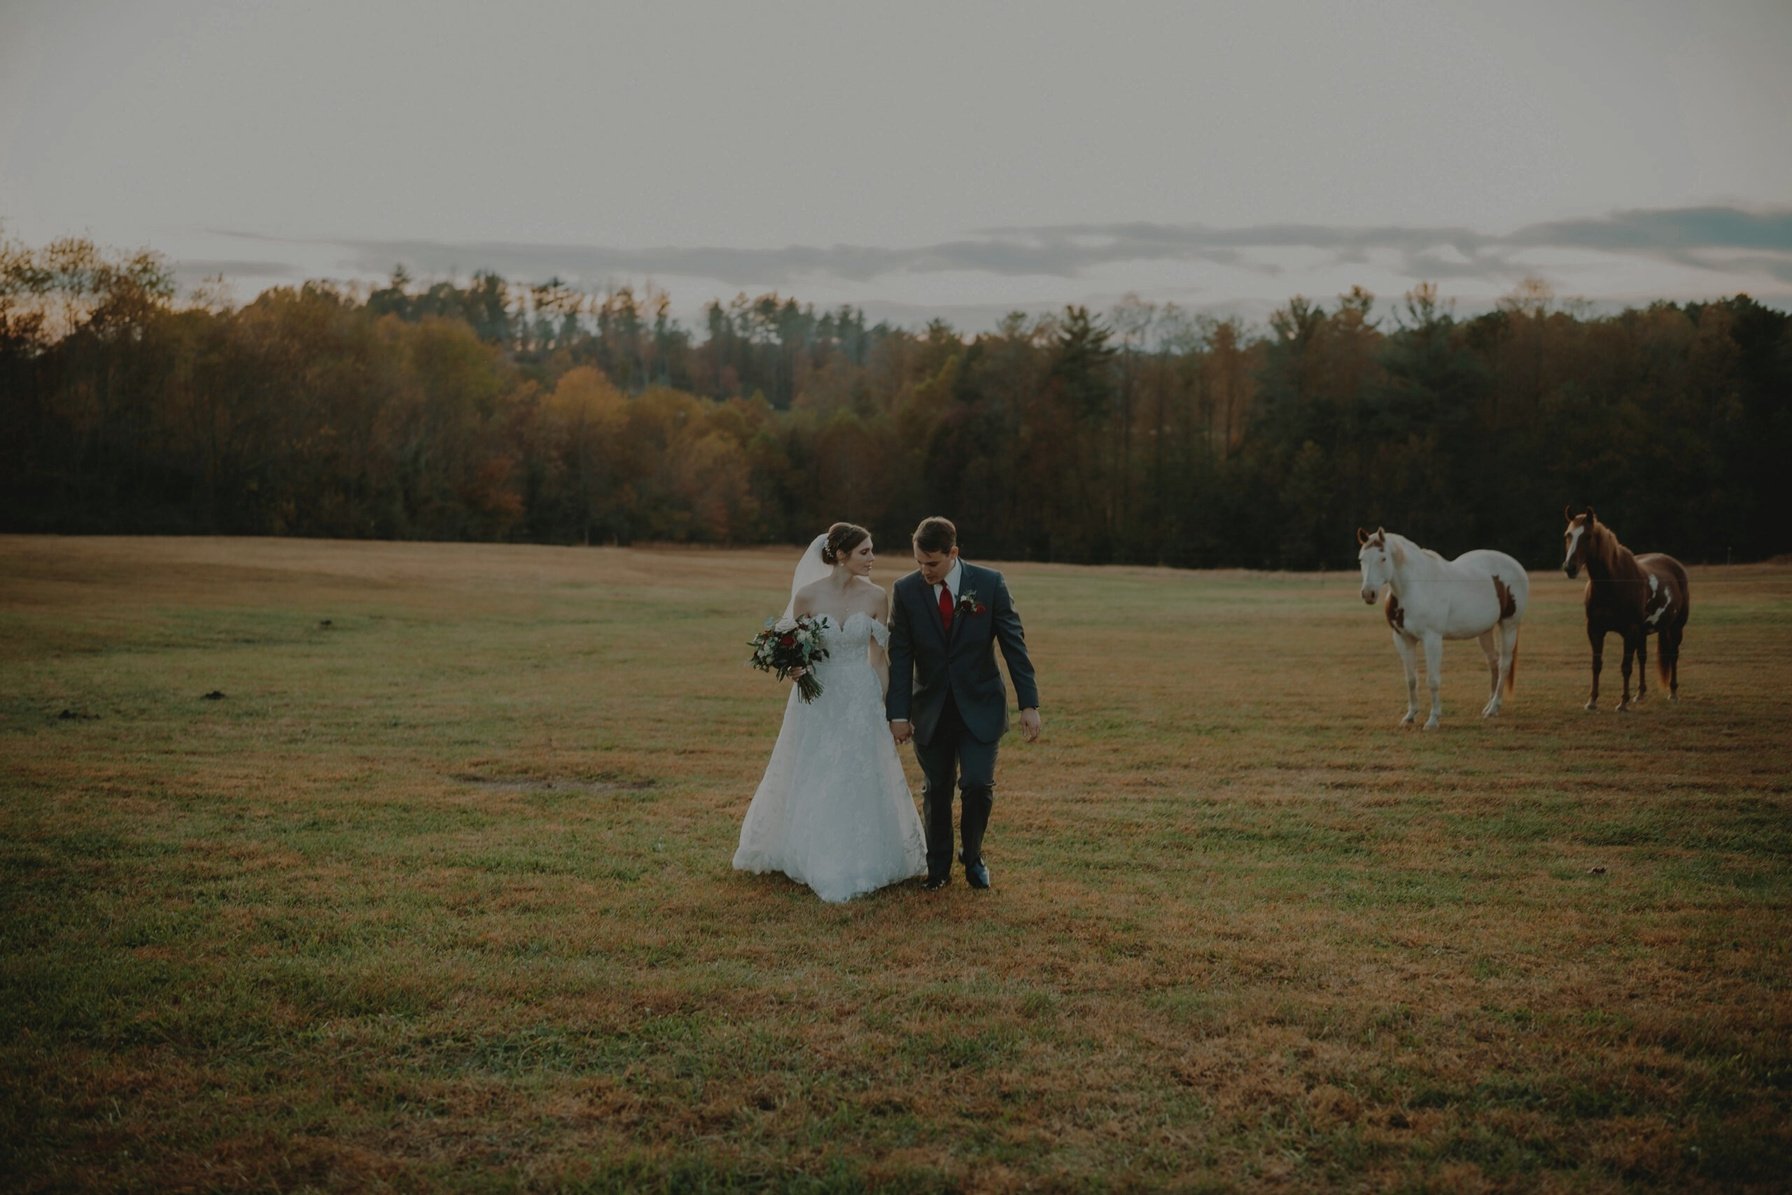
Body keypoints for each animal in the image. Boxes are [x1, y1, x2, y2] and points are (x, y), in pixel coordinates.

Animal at [1355, 527, 1529, 730]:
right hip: (1485, 631)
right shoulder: (1402, 639)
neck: (1415, 587)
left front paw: (1433, 720)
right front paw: (1410, 716)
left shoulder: (1432, 639)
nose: (1368, 594)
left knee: (1503, 665)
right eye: (1361, 559)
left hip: (1509, 626)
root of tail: (1515, 565)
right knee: (1492, 662)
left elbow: (1433, 680)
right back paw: (1488, 707)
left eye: (1383, 558)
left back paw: (1494, 707)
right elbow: (1411, 679)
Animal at [1561, 506, 1690, 711]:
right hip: (1643, 632)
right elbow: (1596, 664)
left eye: (1588, 536)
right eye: (1568, 535)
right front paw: (1592, 701)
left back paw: (1673, 693)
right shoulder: (1595, 630)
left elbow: (1626, 666)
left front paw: (1622, 703)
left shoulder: (1629, 631)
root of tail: (1676, 565)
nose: (1570, 567)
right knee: (1643, 657)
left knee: (1673, 656)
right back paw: (1640, 694)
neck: (1613, 583)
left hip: (1676, 627)